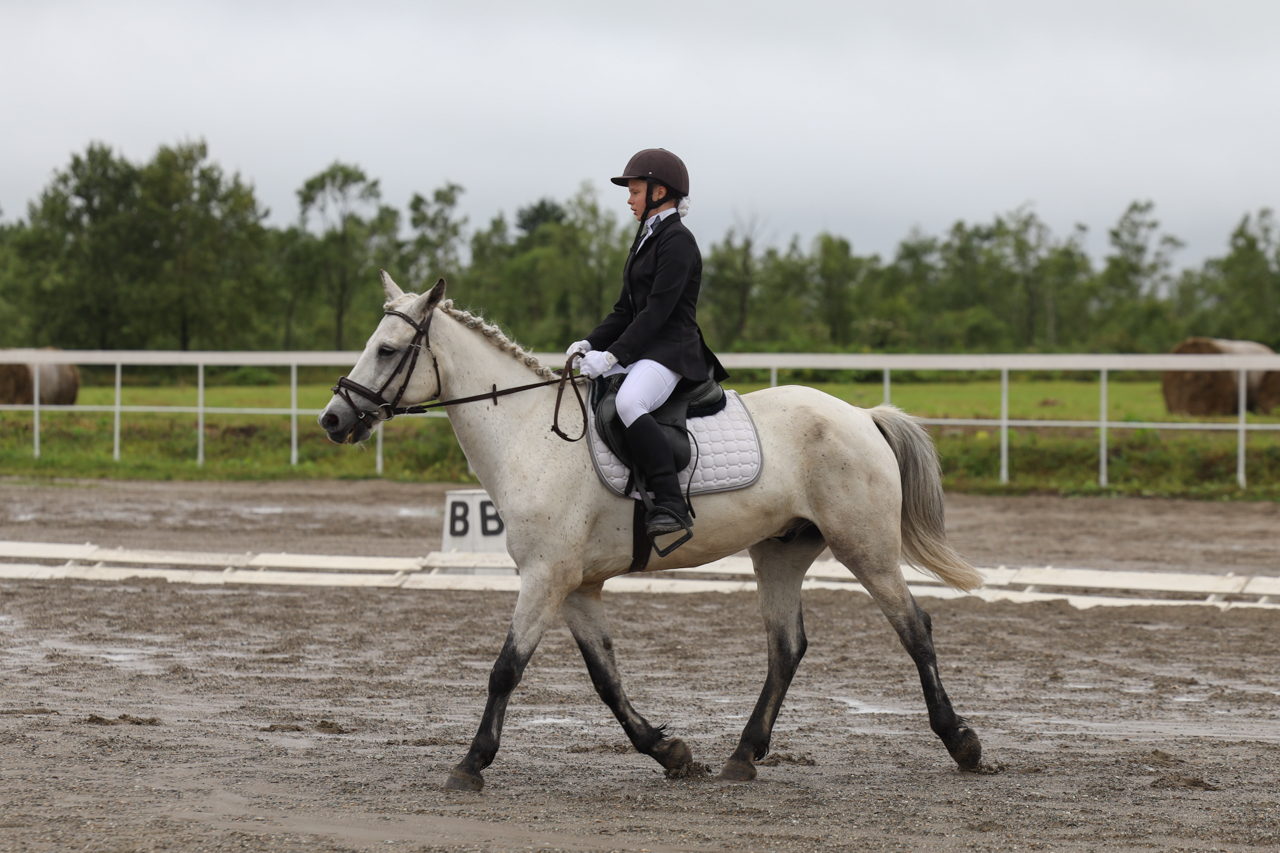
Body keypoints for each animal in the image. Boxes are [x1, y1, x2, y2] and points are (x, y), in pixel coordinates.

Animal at [317, 274, 977, 788]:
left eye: (387, 350)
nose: (332, 419)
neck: (530, 434)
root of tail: (861, 415)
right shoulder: (576, 587)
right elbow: (605, 679)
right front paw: (671, 753)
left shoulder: (545, 577)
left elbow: (506, 668)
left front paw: (471, 764)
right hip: (780, 552)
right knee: (786, 647)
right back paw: (742, 756)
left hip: (864, 547)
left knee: (914, 628)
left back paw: (962, 743)